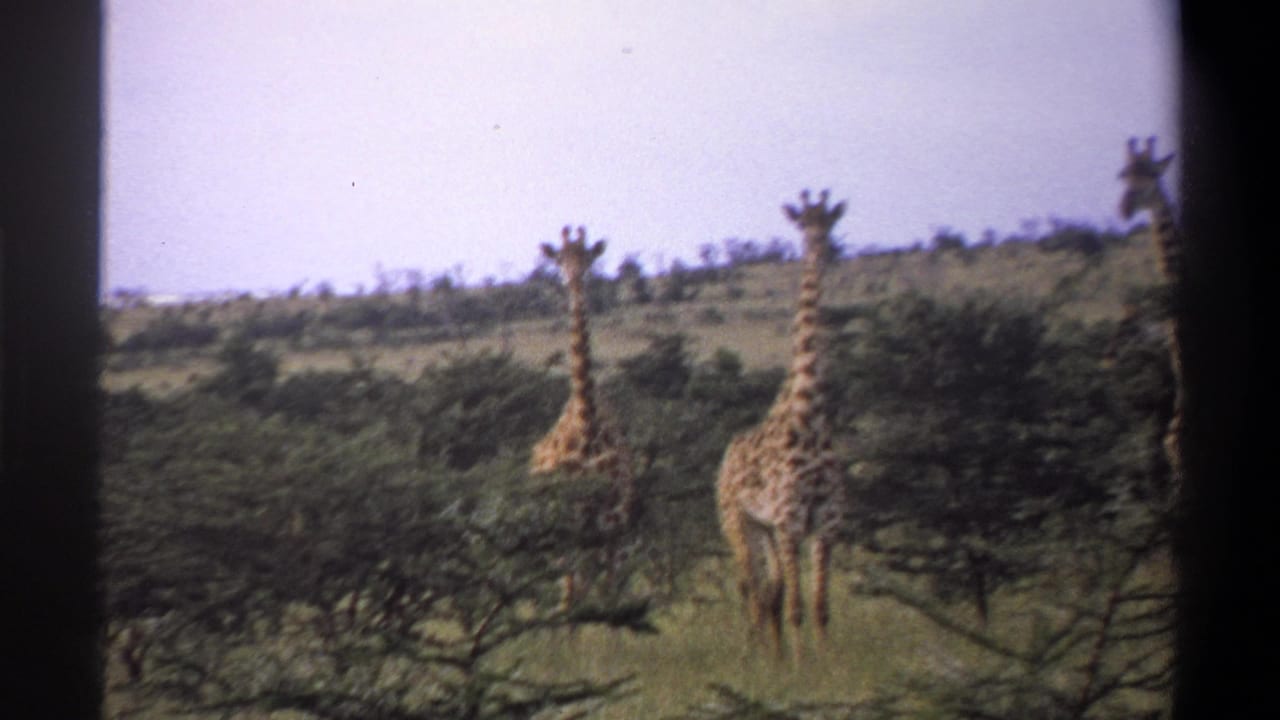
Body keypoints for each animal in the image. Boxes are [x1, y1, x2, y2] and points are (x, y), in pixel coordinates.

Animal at [531, 225, 639, 611]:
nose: (574, 282)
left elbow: (609, 595)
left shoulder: (613, 522)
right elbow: (574, 592)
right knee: (569, 585)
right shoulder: (573, 521)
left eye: (588, 257)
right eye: (559, 259)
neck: (588, 426)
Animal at [716, 189, 849, 662]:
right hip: (740, 524)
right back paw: (756, 654)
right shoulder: (790, 520)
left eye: (829, 221)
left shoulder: (826, 523)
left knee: (767, 591)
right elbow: (795, 606)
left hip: (767, 529)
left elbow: (820, 606)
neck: (809, 416)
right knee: (752, 588)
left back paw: (771, 654)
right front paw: (800, 665)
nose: (821, 245)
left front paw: (827, 662)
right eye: (802, 223)